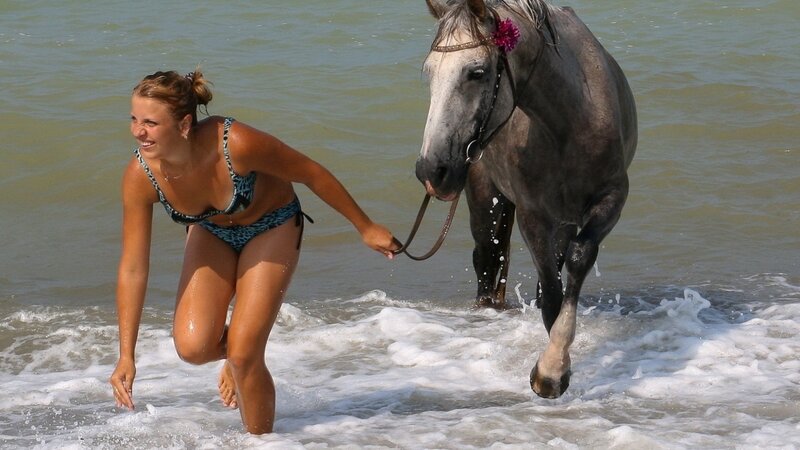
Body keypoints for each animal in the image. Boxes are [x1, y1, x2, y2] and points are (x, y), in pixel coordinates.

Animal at [415, 0, 637, 398]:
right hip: (485, 199)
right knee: (486, 260)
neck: (568, 124)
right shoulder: (533, 215)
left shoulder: (611, 199)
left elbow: (577, 261)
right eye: (430, 72)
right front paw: (552, 369)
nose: (431, 170)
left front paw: (553, 364)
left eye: (476, 72)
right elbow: (550, 290)